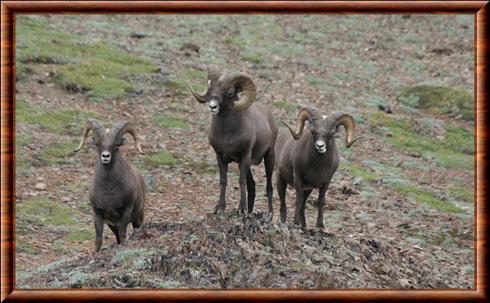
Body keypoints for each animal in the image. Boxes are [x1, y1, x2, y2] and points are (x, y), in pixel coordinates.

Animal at [72, 120, 145, 253]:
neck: (109, 192)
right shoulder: (98, 214)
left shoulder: (126, 211)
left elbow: (123, 235)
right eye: (98, 144)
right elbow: (98, 239)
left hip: (138, 218)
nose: (105, 156)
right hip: (112, 225)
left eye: (116, 145)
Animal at [189, 66, 278, 216]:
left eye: (229, 93)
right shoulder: (220, 157)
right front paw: (219, 208)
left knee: (269, 186)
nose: (212, 106)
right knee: (252, 186)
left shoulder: (245, 156)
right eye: (211, 89)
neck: (227, 135)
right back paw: (250, 211)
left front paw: (242, 209)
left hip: (269, 157)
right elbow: (223, 180)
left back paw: (269, 214)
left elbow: (241, 181)